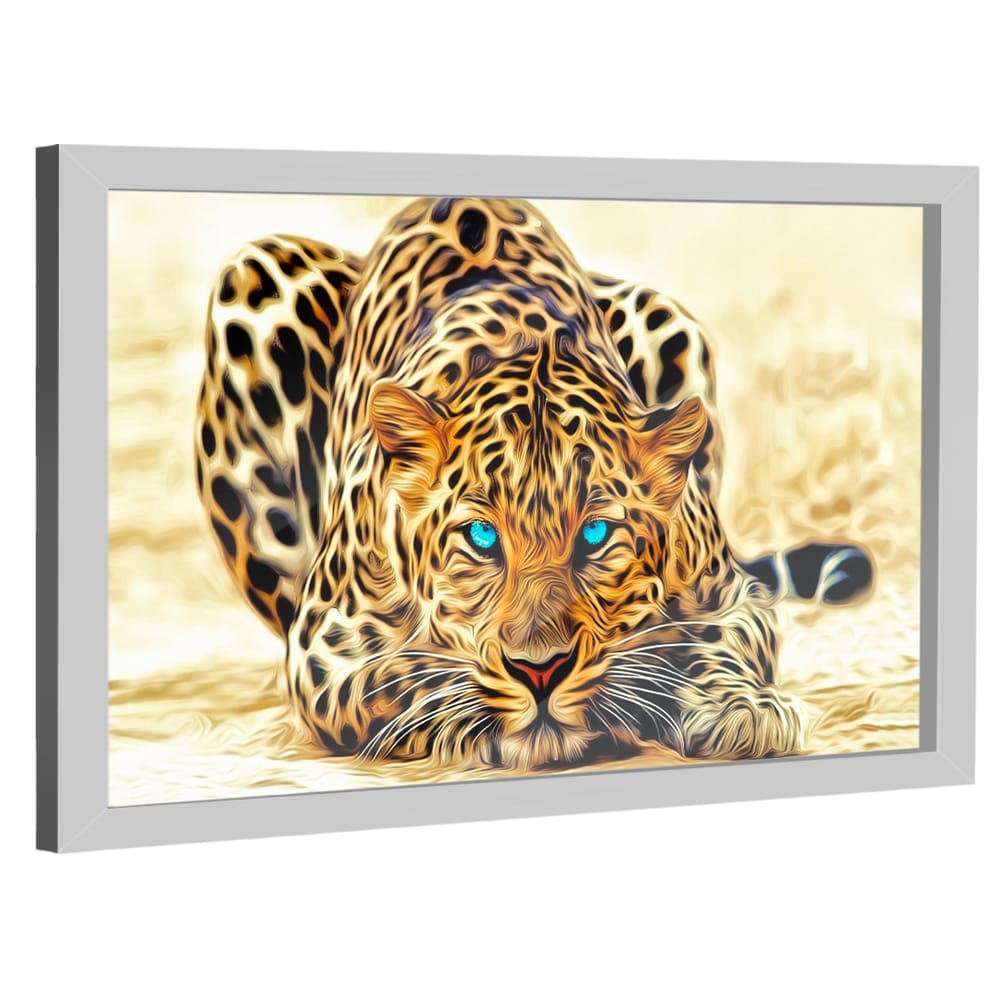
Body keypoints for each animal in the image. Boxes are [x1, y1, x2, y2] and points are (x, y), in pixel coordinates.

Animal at [193, 197, 873, 773]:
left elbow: (721, 644)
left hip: (665, 317)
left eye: (595, 534)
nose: (540, 672)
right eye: (481, 537)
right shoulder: (326, 646)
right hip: (254, 280)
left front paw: (741, 708)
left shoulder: (730, 594)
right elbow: (409, 677)